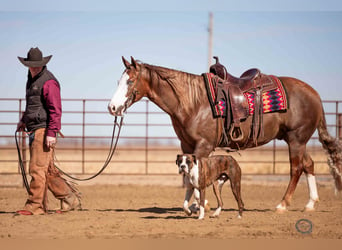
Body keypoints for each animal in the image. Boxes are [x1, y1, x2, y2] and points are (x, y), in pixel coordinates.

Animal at [107, 56, 342, 211]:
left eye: (130, 81)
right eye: (118, 81)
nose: (112, 107)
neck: (192, 100)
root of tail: (314, 94)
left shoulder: (203, 145)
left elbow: (198, 174)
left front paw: (200, 204)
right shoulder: (186, 146)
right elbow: (188, 177)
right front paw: (194, 205)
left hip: (296, 139)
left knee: (296, 168)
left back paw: (282, 205)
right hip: (296, 140)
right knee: (309, 164)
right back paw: (310, 203)